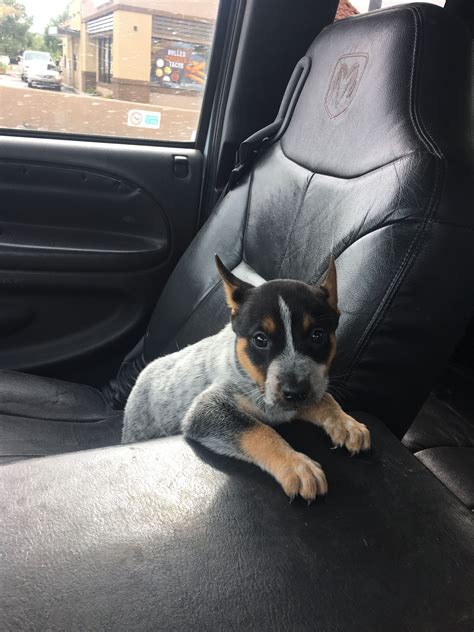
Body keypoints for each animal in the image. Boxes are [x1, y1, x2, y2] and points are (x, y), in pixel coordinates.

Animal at [122, 256, 370, 498]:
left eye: (318, 335)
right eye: (260, 339)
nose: (295, 392)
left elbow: (325, 398)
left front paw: (347, 424)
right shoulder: (207, 409)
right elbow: (258, 430)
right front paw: (296, 465)